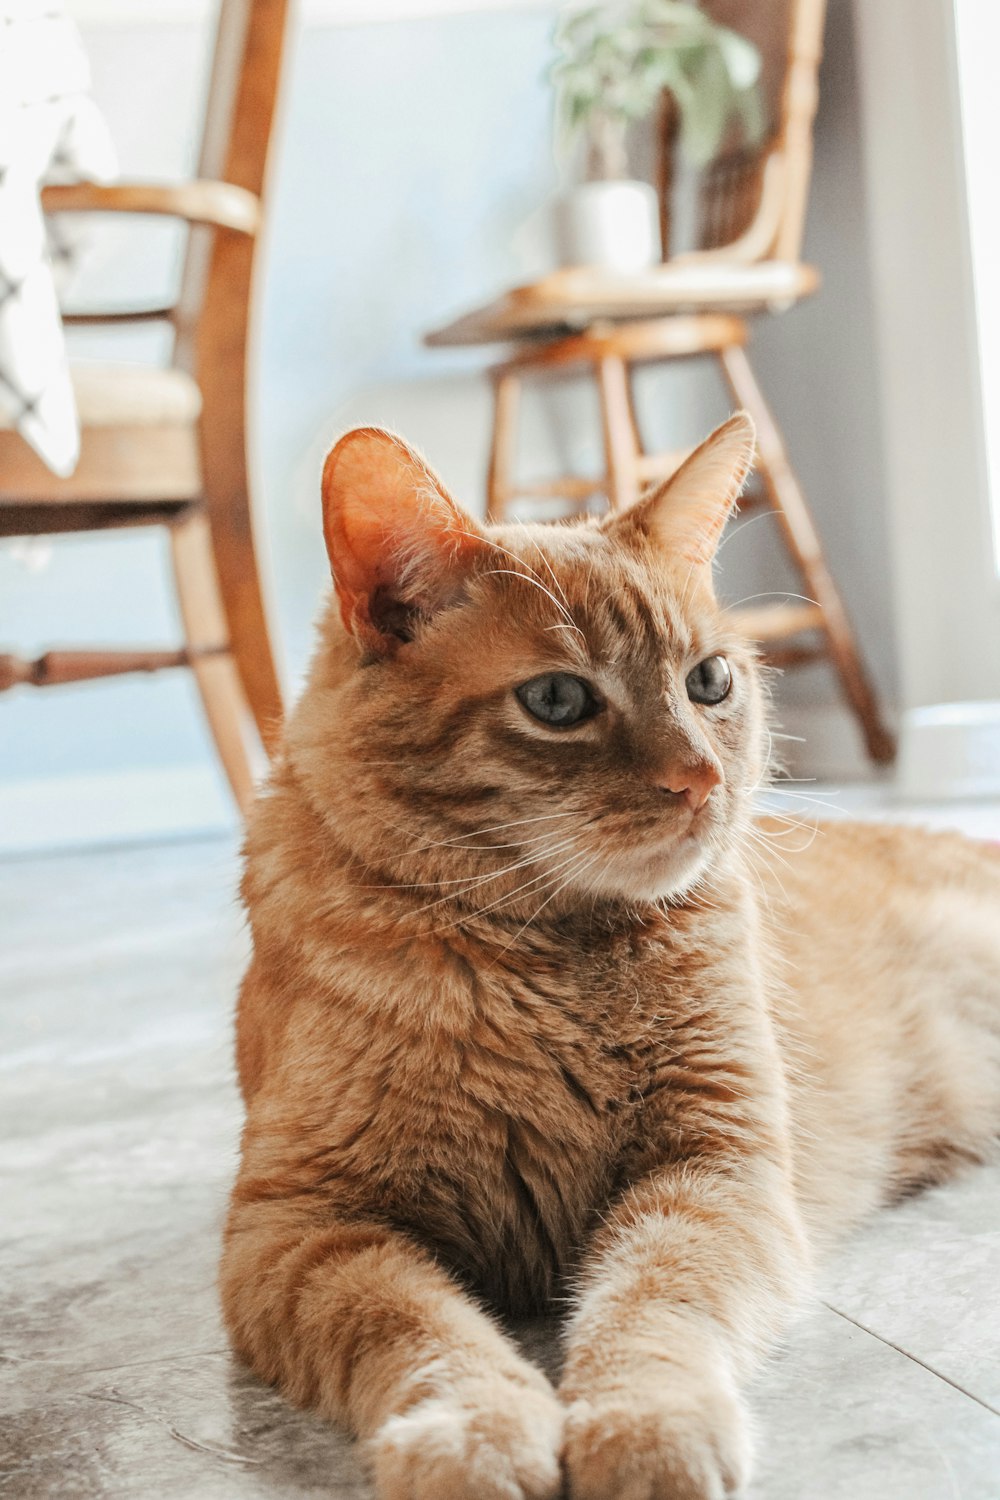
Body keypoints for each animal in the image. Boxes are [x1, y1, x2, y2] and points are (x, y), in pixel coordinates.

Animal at [223, 417, 1000, 1500]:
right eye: (557, 700)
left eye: (709, 681)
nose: (701, 780)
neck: (546, 963)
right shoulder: (298, 1226)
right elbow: (411, 1325)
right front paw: (475, 1427)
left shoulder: (714, 1170)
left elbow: (651, 1301)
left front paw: (644, 1418)